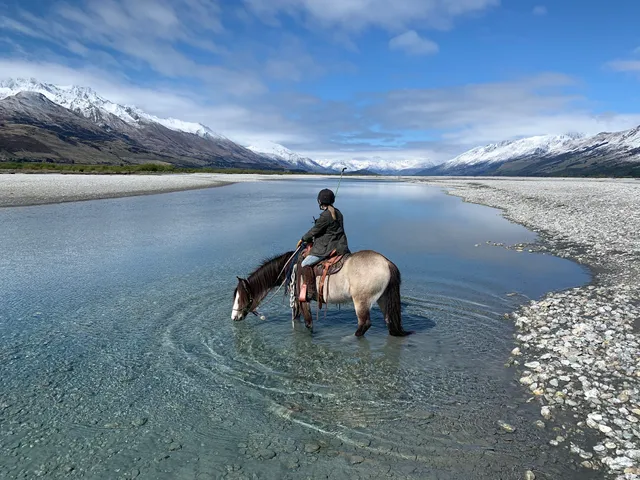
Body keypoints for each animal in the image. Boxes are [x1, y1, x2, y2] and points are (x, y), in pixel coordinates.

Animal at [231, 249, 412, 337]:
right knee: (389, 320)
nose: (234, 317)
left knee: (364, 324)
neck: (291, 267)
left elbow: (309, 324)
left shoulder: (302, 300)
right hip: (383, 298)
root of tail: (387, 263)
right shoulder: (297, 302)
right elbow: (297, 319)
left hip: (361, 301)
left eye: (240, 297)